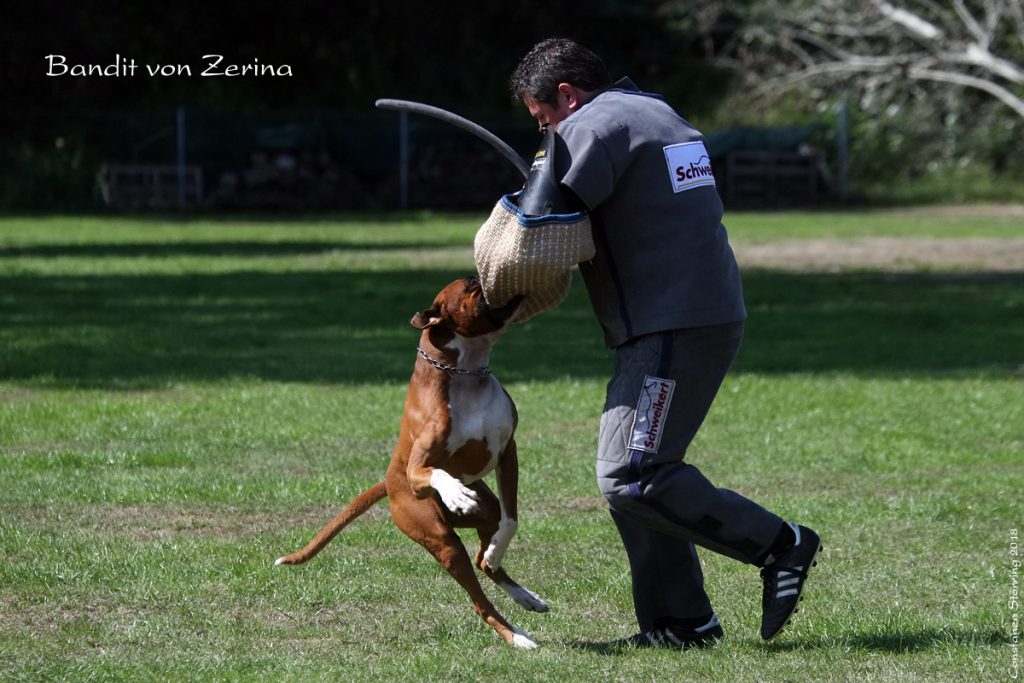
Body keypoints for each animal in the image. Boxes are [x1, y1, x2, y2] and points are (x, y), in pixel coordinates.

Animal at [270, 274, 544, 651]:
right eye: (470, 285)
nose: (485, 277)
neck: (465, 373)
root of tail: (388, 483)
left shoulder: (508, 452)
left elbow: (511, 521)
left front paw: (496, 550)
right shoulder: (418, 471)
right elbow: (435, 472)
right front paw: (454, 492)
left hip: (484, 510)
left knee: (484, 558)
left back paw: (526, 596)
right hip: (440, 539)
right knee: (478, 597)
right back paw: (515, 636)